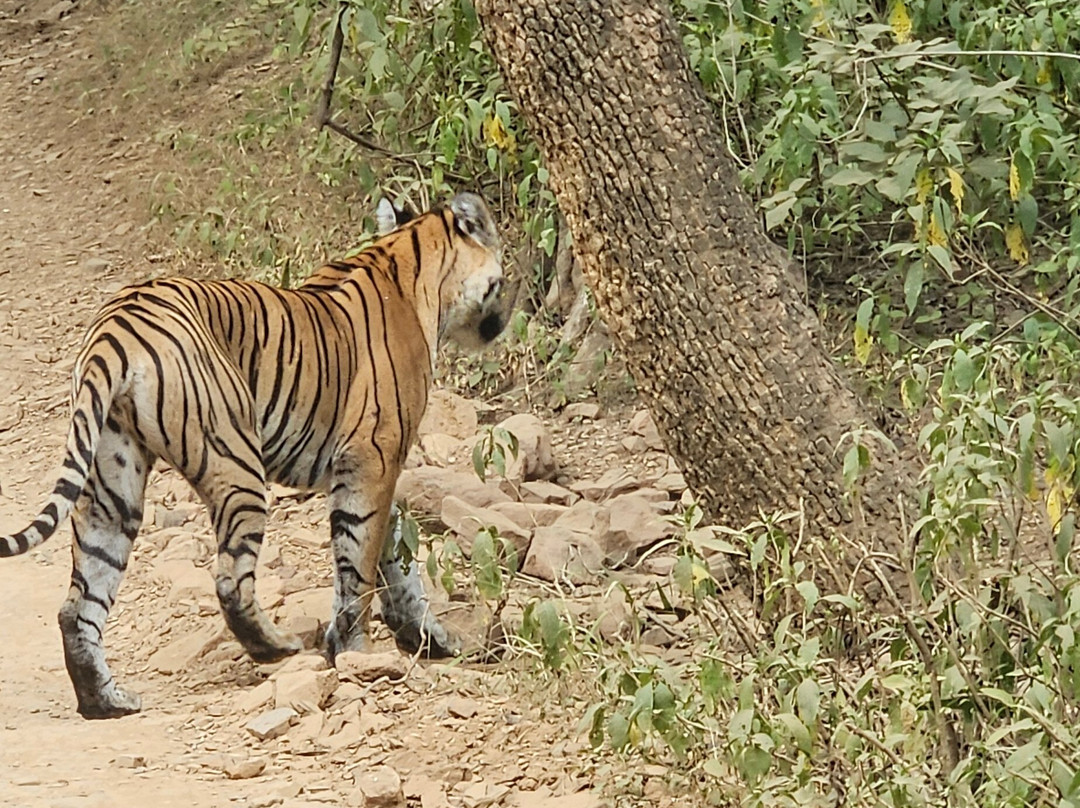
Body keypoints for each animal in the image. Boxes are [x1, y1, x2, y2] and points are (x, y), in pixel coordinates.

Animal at [0, 192, 505, 719]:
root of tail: (113, 328)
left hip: (111, 481)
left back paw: (106, 700)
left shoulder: (366, 470)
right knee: (229, 581)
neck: (413, 263)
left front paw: (426, 635)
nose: (504, 320)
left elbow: (395, 555)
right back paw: (277, 647)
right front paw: (355, 651)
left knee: (78, 604)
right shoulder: (372, 458)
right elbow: (360, 562)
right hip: (236, 461)